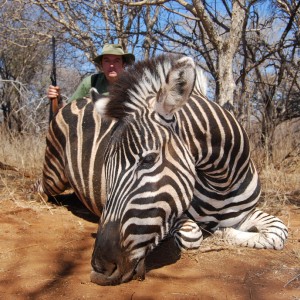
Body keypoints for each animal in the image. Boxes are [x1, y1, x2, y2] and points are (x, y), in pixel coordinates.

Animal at [38, 54, 288, 286]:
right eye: (105, 163)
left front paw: (222, 232)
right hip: (54, 176)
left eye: (148, 160)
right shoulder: (174, 217)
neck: (222, 181)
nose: (100, 268)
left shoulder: (244, 214)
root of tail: (76, 102)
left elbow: (278, 232)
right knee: (42, 188)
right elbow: (193, 235)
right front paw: (215, 234)